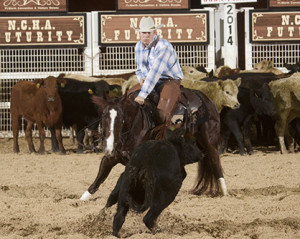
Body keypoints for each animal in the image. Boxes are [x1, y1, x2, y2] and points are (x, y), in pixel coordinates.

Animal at [80, 87, 227, 201]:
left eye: (121, 119)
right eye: (104, 116)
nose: (108, 147)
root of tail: (207, 99)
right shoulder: (112, 157)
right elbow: (99, 177)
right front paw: (82, 199)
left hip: (209, 141)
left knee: (215, 161)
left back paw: (224, 191)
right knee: (183, 173)